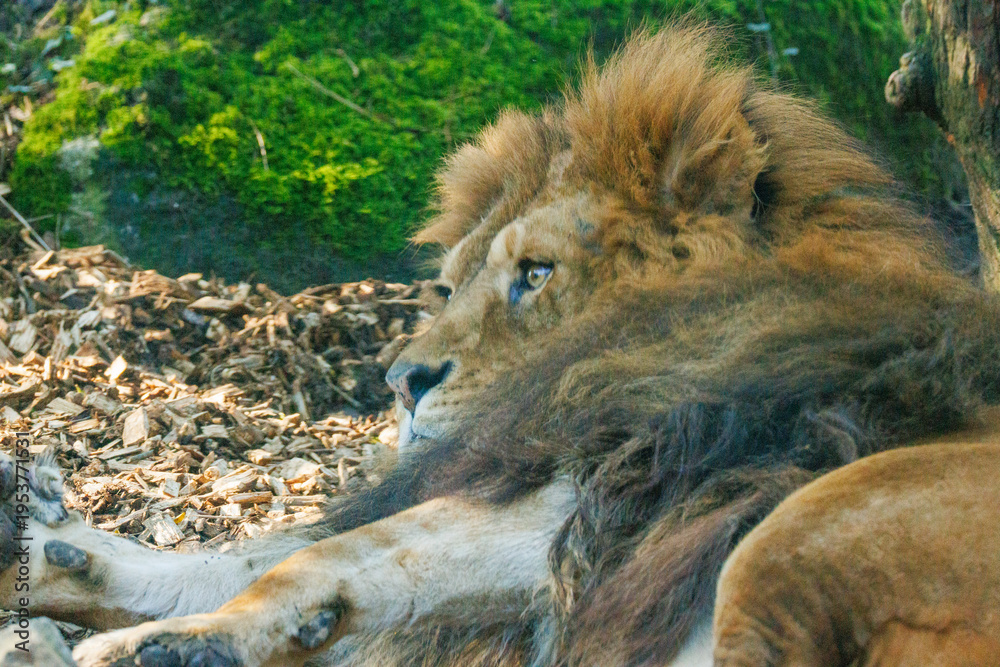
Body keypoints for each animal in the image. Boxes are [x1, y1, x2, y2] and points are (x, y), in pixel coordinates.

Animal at [2, 25, 1000, 667]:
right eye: (451, 284)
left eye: (537, 273)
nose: (401, 382)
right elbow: (257, 554)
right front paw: (60, 556)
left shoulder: (604, 482)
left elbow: (317, 555)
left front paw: (154, 642)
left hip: (791, 532)